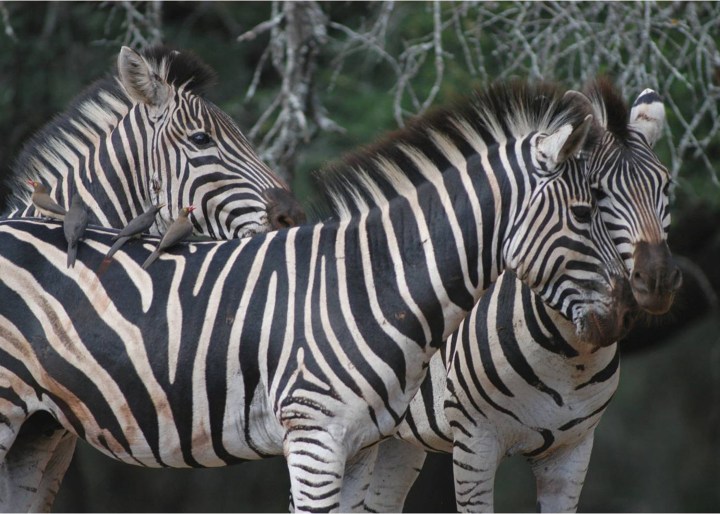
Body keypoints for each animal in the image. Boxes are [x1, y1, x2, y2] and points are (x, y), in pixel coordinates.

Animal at [0, 80, 632, 512]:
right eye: (585, 213)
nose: (624, 317)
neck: (372, 285)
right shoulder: (314, 441)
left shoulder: (360, 447)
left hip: (36, 428)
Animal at [355, 79, 681, 513]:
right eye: (596, 195)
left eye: (666, 186)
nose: (658, 278)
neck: (570, 356)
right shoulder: (474, 444)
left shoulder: (573, 451)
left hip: (399, 441)